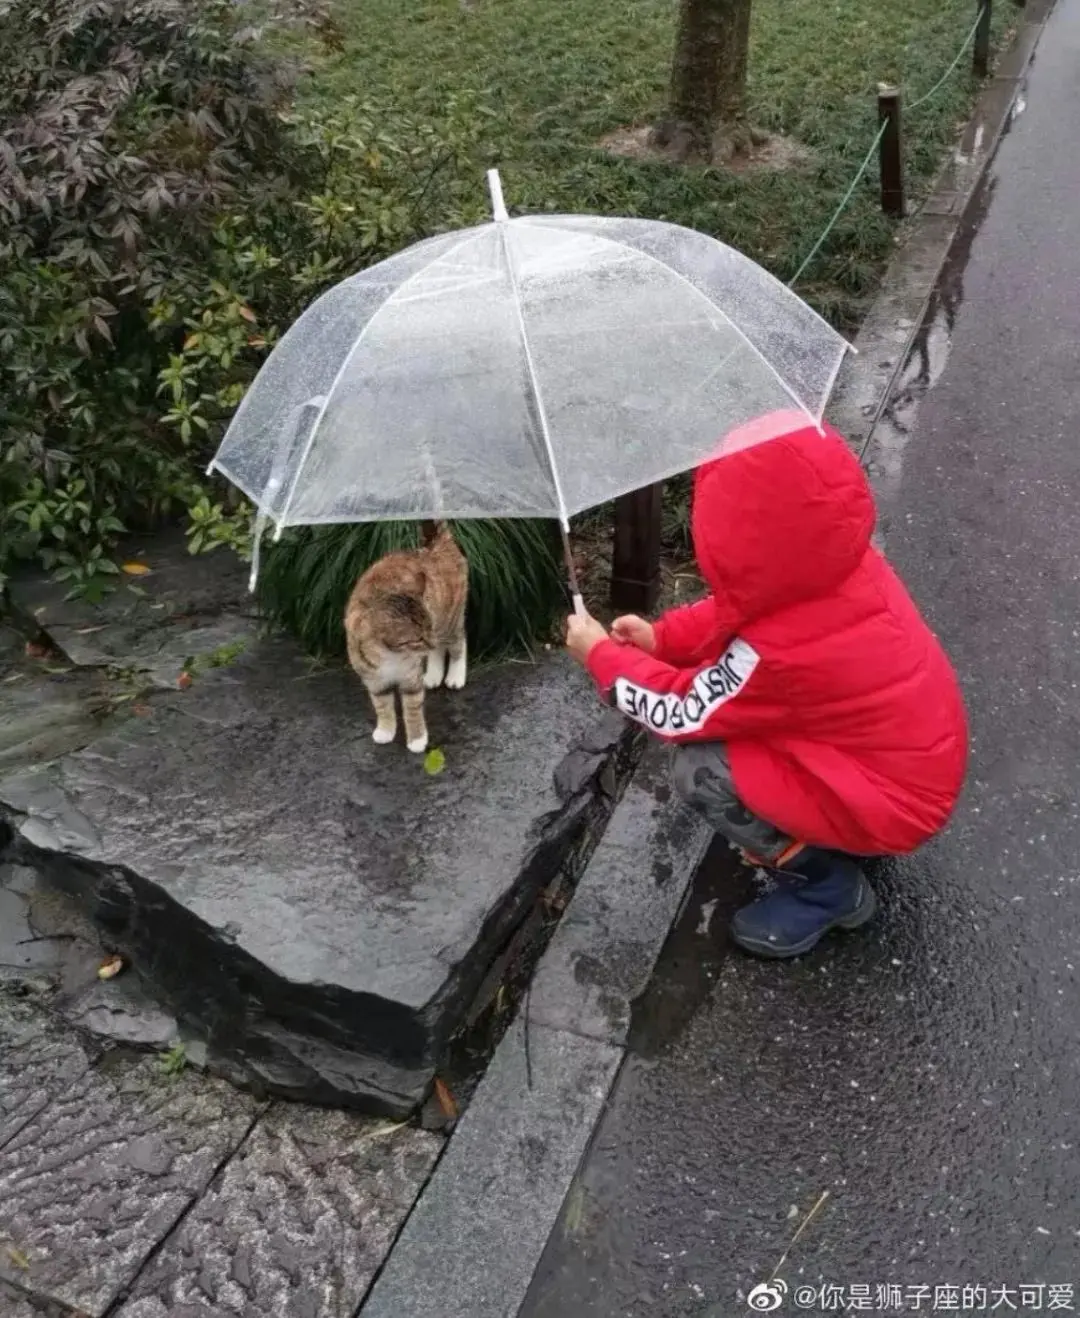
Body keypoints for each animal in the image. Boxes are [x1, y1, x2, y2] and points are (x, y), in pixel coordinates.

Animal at [345, 521, 466, 753]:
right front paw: (385, 730)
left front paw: (417, 739)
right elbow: (382, 706)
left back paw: (456, 675)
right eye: (417, 638)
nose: (430, 642)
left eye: (427, 628)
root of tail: (436, 542)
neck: (388, 654)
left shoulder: (411, 678)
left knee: (459, 642)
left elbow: (412, 708)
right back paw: (434, 674)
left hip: (448, 621)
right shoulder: (374, 680)